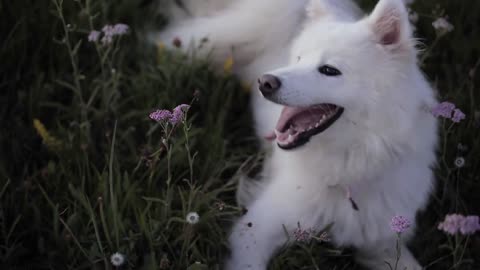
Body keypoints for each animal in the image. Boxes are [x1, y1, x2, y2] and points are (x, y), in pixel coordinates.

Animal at [158, 1, 438, 268]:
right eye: (299, 58)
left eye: (329, 70)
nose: (265, 82)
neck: (349, 167)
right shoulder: (254, 231)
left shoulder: (383, 244)